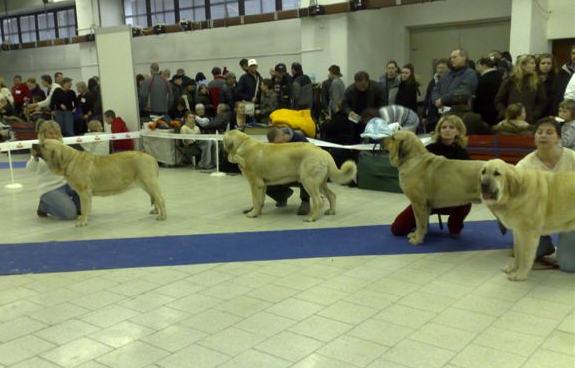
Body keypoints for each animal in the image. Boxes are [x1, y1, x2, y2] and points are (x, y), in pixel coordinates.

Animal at [33, 139, 165, 227]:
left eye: (43, 145)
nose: (33, 144)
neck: (69, 160)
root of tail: (152, 158)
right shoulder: (86, 194)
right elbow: (87, 207)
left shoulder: (84, 192)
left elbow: (84, 208)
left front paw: (82, 221)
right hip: (145, 185)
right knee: (156, 198)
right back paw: (156, 211)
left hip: (149, 182)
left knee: (160, 199)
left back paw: (162, 216)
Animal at [224, 129, 356, 221]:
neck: (242, 144)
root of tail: (323, 151)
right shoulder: (263, 185)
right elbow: (260, 201)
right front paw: (257, 212)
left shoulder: (255, 183)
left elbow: (255, 200)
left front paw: (253, 214)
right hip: (320, 183)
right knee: (332, 195)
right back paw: (331, 211)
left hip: (308, 181)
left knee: (318, 201)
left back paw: (311, 218)